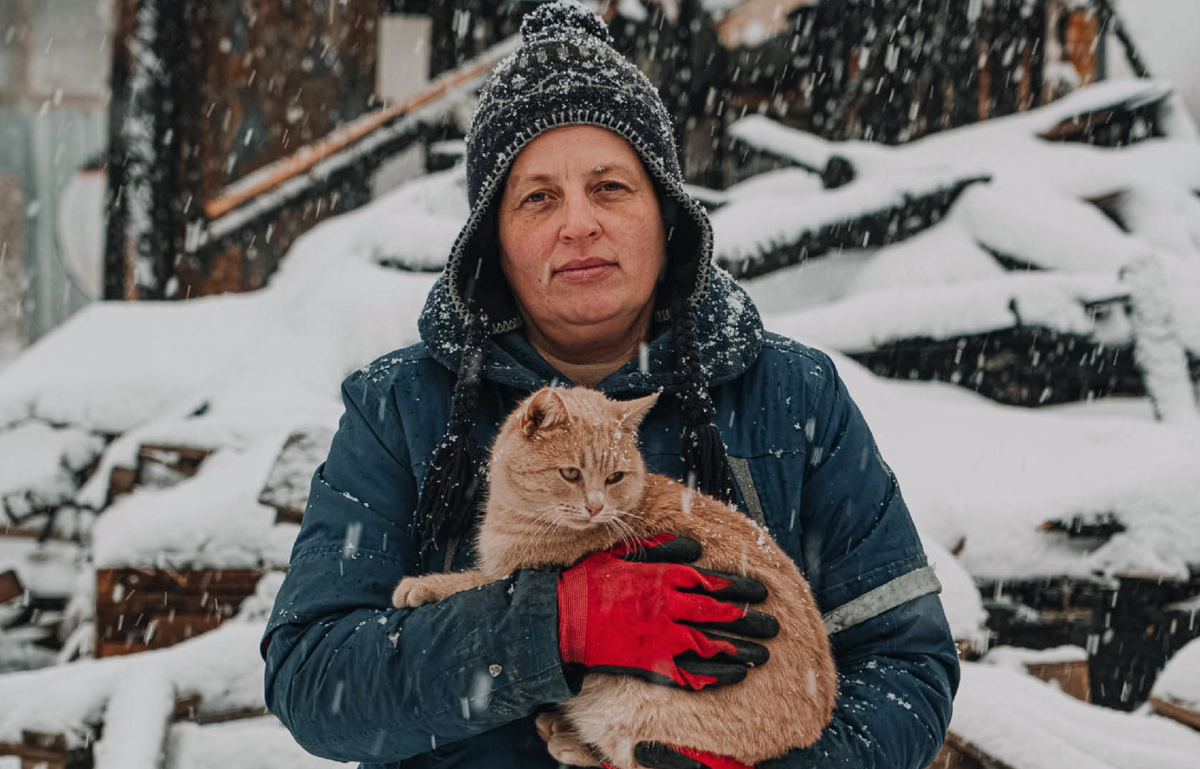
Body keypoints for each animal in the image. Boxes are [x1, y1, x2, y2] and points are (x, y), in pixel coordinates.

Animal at [393, 386, 835, 763]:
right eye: (571, 474)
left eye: (614, 477)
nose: (595, 506)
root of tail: (809, 729)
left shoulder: (519, 575)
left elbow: (470, 581)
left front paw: (420, 586)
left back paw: (568, 742)